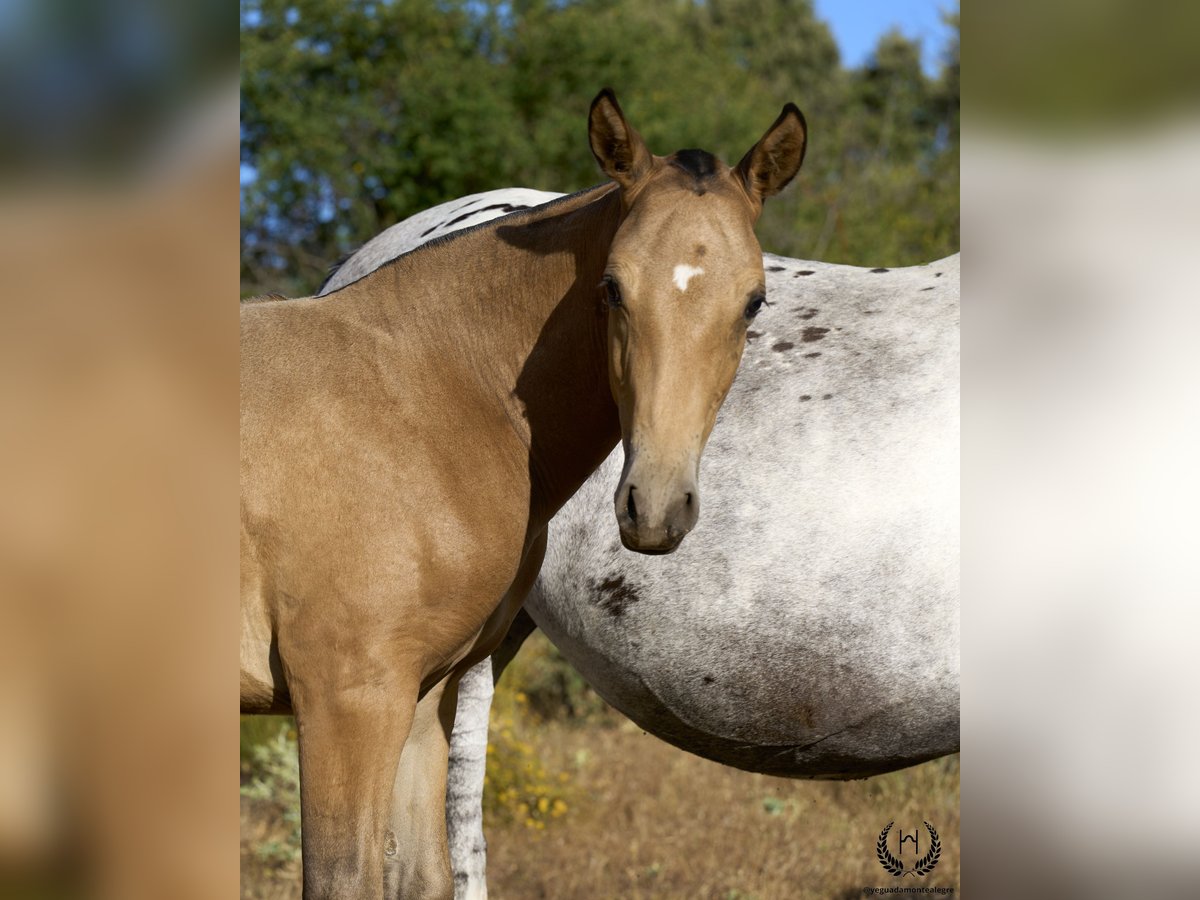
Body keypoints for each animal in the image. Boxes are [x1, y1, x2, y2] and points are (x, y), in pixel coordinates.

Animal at [238, 93, 806, 900]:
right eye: (612, 286)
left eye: (754, 302)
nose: (655, 508)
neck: (426, 392)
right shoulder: (346, 697)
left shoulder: (423, 697)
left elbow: (426, 877)